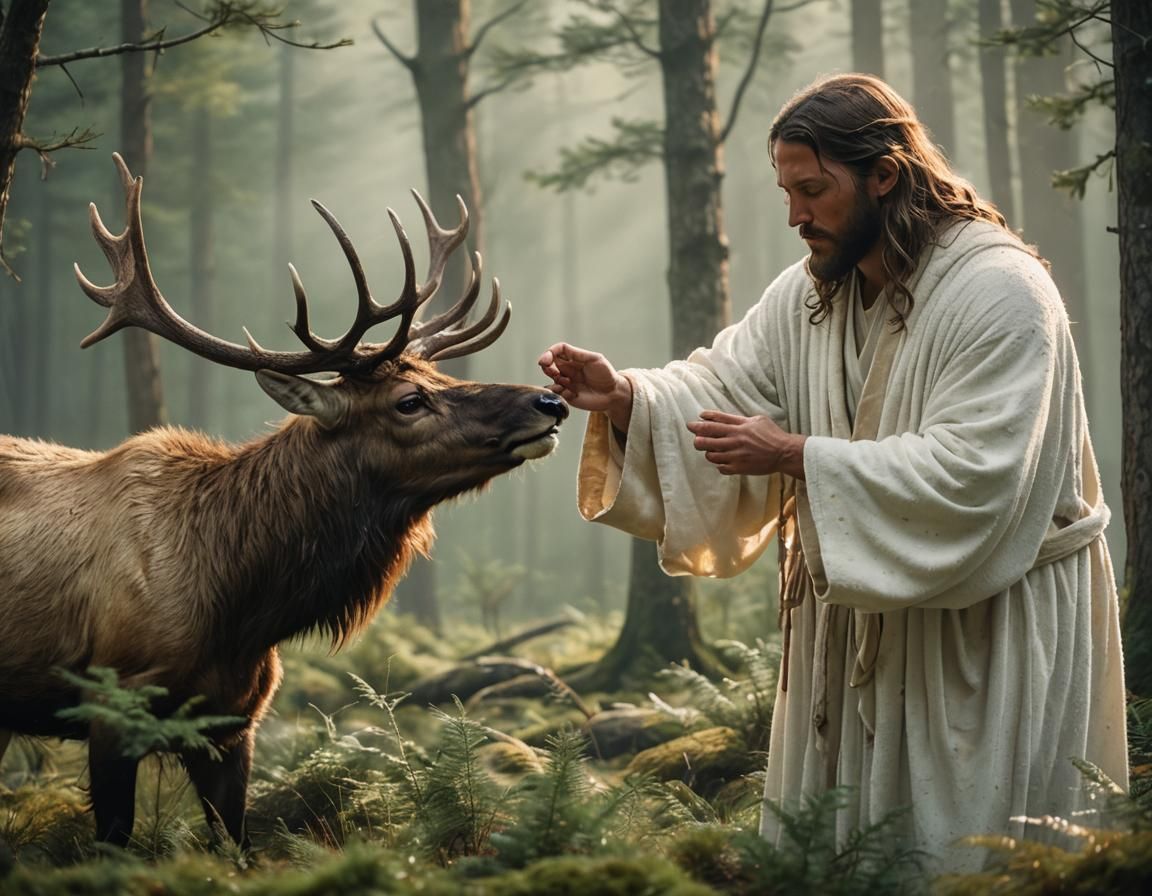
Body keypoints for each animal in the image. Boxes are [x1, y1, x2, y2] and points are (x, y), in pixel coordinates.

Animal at [0, 154, 568, 848]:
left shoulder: (235, 722)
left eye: (442, 376)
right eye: (408, 400)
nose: (549, 401)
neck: (241, 606)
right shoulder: (112, 705)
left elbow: (234, 843)